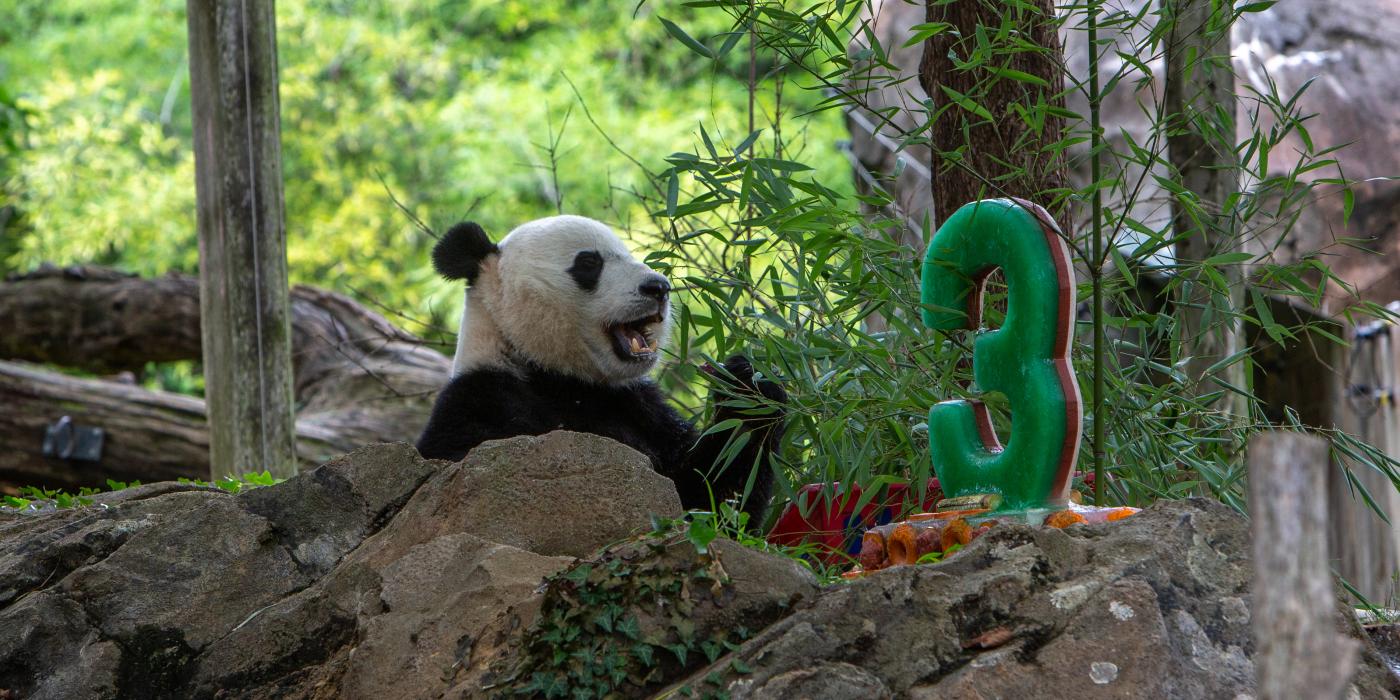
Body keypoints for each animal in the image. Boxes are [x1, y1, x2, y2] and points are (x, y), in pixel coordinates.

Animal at [414, 212, 789, 526]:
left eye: (628, 254)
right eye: (589, 262)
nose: (658, 287)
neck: (558, 376)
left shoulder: (640, 408)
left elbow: (711, 496)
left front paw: (749, 387)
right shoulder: (481, 399)